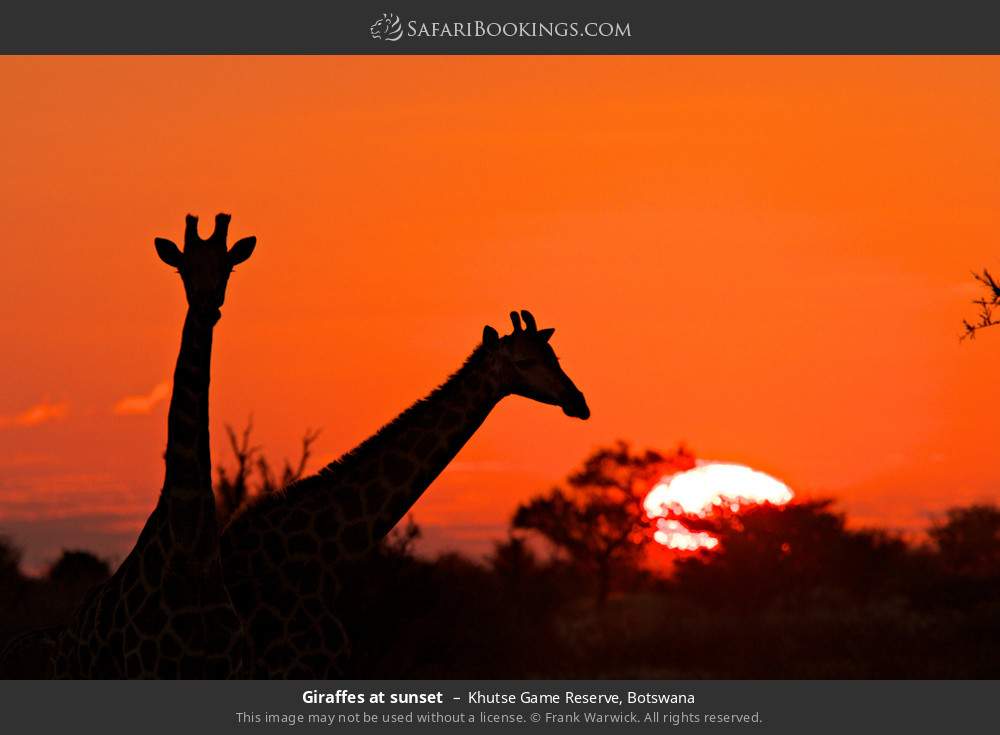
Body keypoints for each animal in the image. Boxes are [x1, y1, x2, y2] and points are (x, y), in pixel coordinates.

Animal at [50, 213, 255, 678]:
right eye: (183, 269)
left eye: (227, 268)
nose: (207, 306)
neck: (192, 549)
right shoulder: (150, 668)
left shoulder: (228, 668)